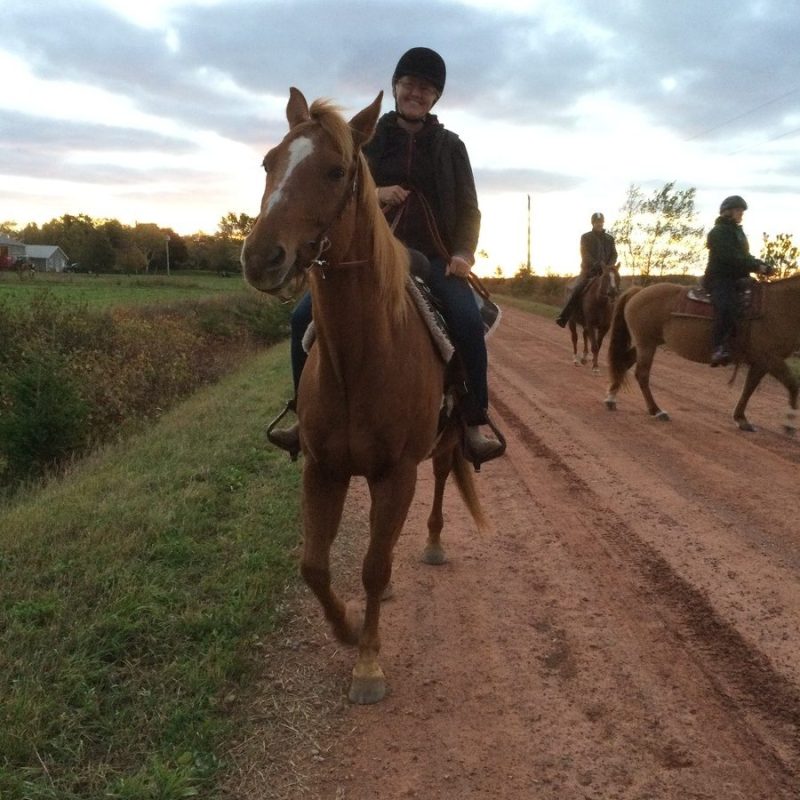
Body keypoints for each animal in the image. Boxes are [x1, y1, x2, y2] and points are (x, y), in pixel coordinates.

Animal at [240, 88, 488, 704]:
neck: (362, 357)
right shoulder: (323, 468)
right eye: (268, 163)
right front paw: (349, 627)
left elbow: (374, 566)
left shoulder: (396, 473)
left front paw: (369, 663)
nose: (260, 258)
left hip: (446, 443)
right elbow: (314, 565)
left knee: (440, 481)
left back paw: (432, 544)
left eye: (335, 171)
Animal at [604, 275, 800, 434]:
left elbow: (749, 388)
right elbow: (792, 385)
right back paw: (656, 411)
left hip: (647, 343)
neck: (778, 306)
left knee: (624, 362)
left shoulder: (760, 362)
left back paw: (611, 399)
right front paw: (789, 425)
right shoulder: (770, 358)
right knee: (642, 375)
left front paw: (741, 419)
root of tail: (638, 292)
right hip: (646, 344)